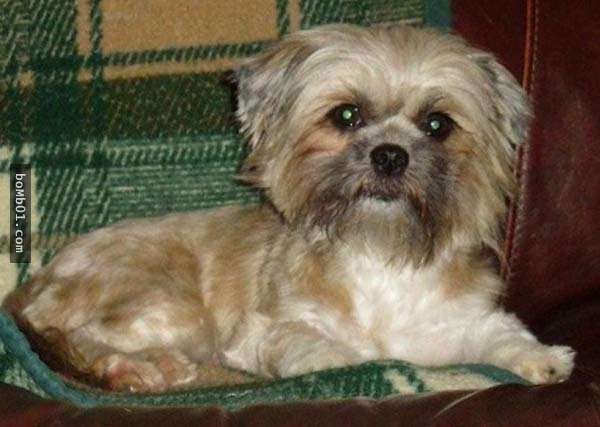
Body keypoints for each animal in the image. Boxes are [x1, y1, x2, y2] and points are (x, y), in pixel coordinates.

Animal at [3, 24, 575, 392]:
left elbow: (498, 333)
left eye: (438, 125)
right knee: (78, 336)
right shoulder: (265, 330)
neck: (378, 250)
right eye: (346, 115)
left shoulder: (450, 323)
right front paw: (350, 361)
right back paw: (139, 368)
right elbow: (311, 345)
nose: (391, 155)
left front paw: (542, 357)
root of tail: (34, 282)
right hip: (168, 304)